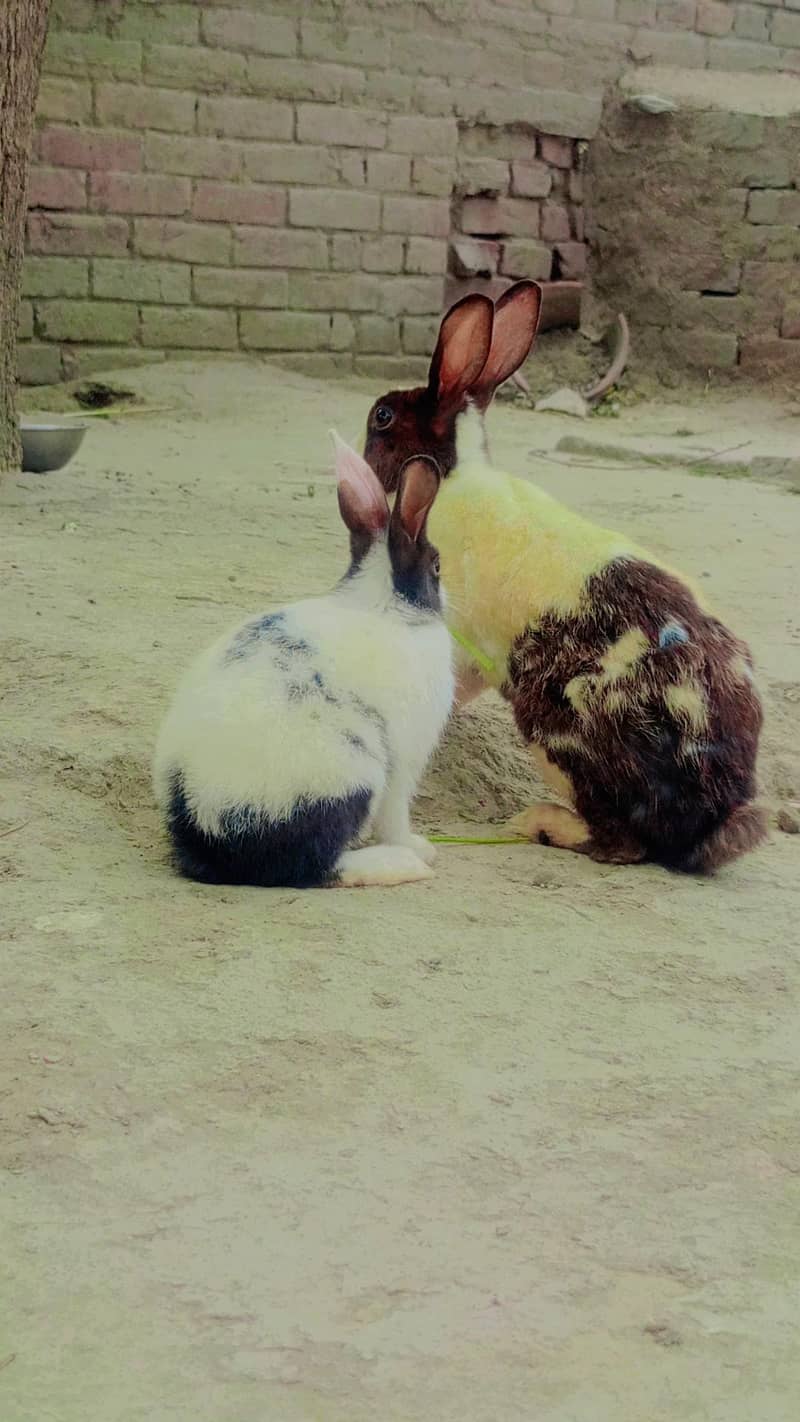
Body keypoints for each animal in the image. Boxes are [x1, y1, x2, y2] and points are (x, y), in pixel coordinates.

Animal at [153, 434, 454, 889]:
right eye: (437, 565)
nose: (449, 597)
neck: (383, 605)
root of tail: (210, 833)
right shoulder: (404, 761)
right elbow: (395, 816)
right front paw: (418, 846)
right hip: (355, 773)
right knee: (315, 866)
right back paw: (402, 863)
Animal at [362, 281, 765, 874]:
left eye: (383, 416)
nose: (365, 465)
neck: (453, 474)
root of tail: (713, 811)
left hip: (554, 727)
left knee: (623, 843)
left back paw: (539, 823)